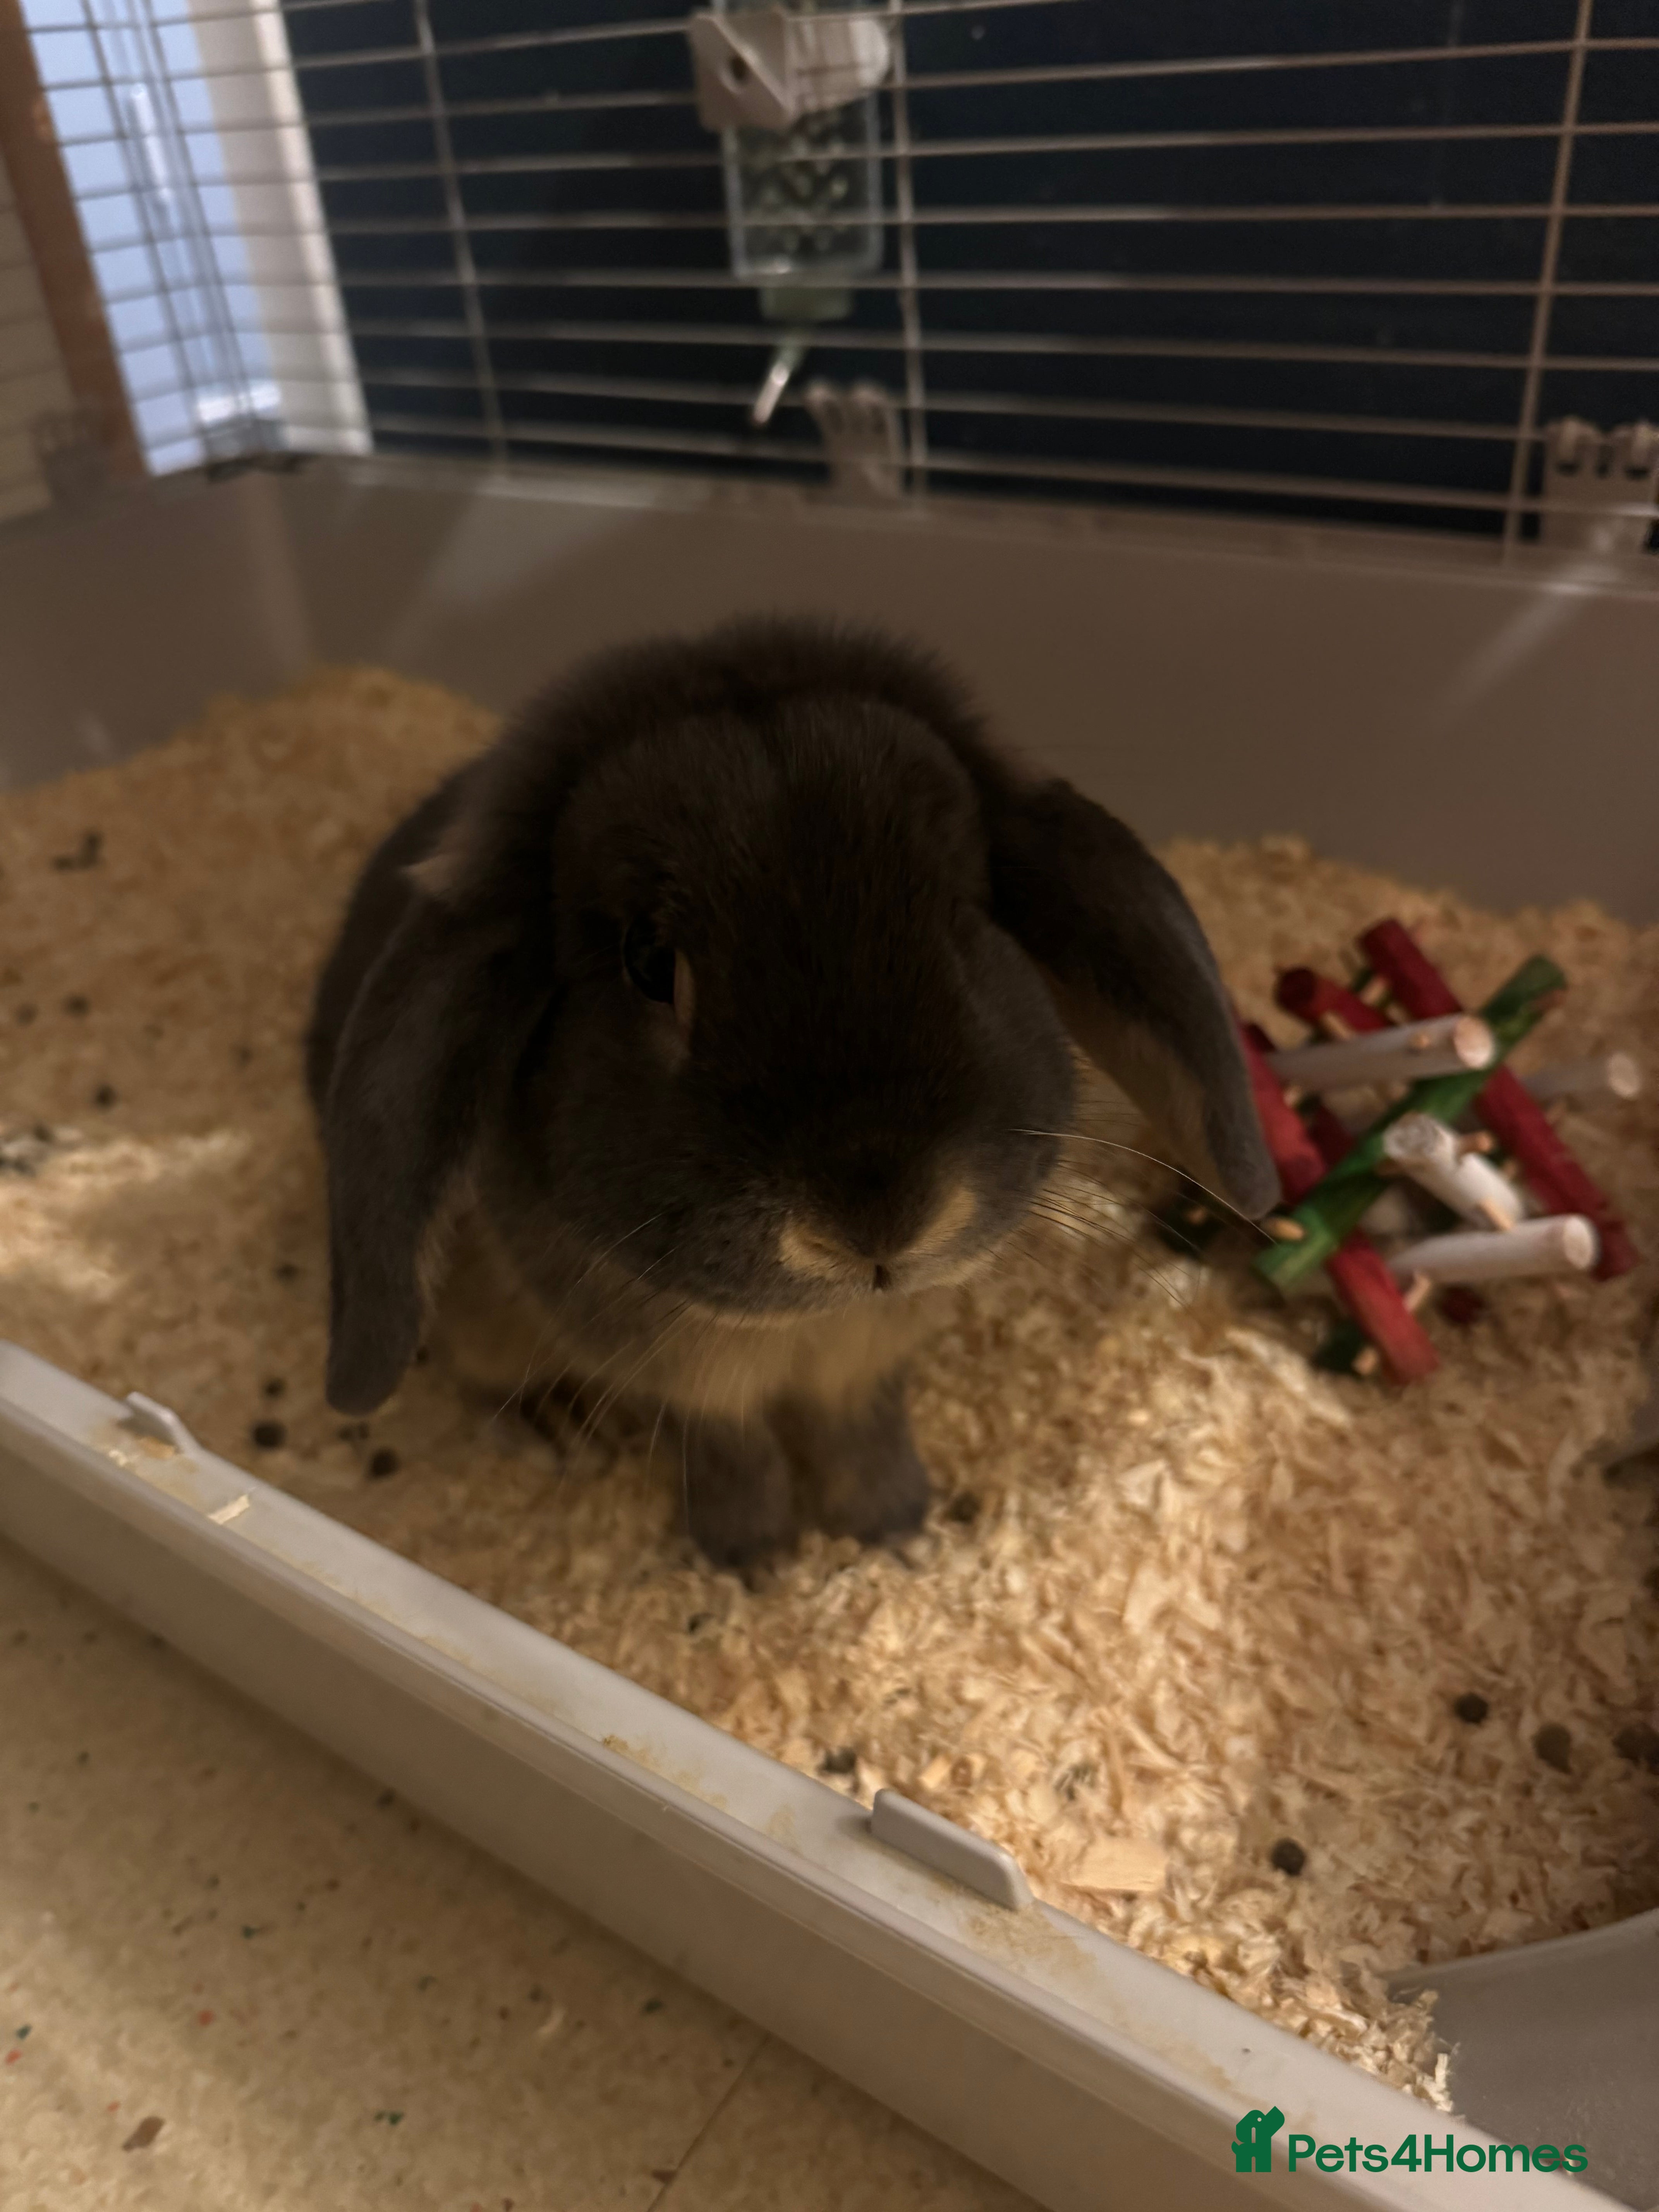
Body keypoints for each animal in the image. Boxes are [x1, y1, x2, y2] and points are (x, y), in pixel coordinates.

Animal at [305, 617, 1275, 1566]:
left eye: (966, 915)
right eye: (648, 963)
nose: (880, 1221)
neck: (820, 1319)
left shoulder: (865, 1364)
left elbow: (860, 1431)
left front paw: (899, 1534)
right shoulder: (694, 1380)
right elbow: (729, 1444)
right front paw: (753, 1559)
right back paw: (558, 1426)